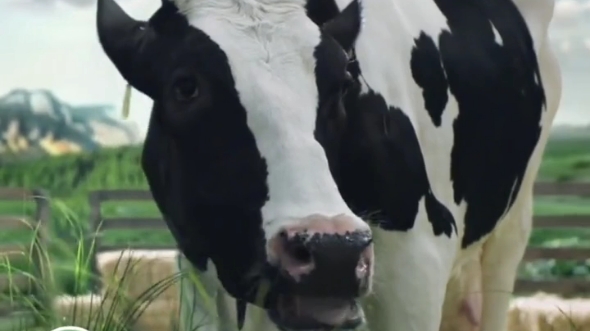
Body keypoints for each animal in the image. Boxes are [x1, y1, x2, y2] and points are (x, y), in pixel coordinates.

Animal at [97, 0, 564, 330]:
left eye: (343, 84)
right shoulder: (200, 271)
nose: (332, 252)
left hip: (511, 224)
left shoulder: (418, 259)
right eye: (185, 87)